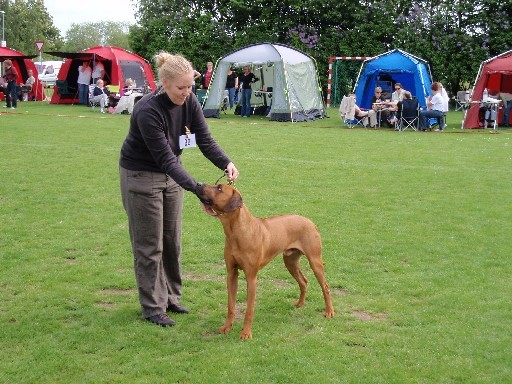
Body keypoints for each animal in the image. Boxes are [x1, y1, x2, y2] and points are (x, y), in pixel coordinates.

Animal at [197, 184, 336, 340]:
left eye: (219, 188)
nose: (199, 184)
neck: (236, 231)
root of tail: (310, 221)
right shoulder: (231, 273)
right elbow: (231, 305)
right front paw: (227, 327)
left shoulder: (251, 277)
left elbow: (249, 309)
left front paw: (246, 333)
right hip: (290, 261)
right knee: (303, 281)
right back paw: (300, 303)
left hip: (315, 261)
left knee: (325, 287)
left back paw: (329, 311)